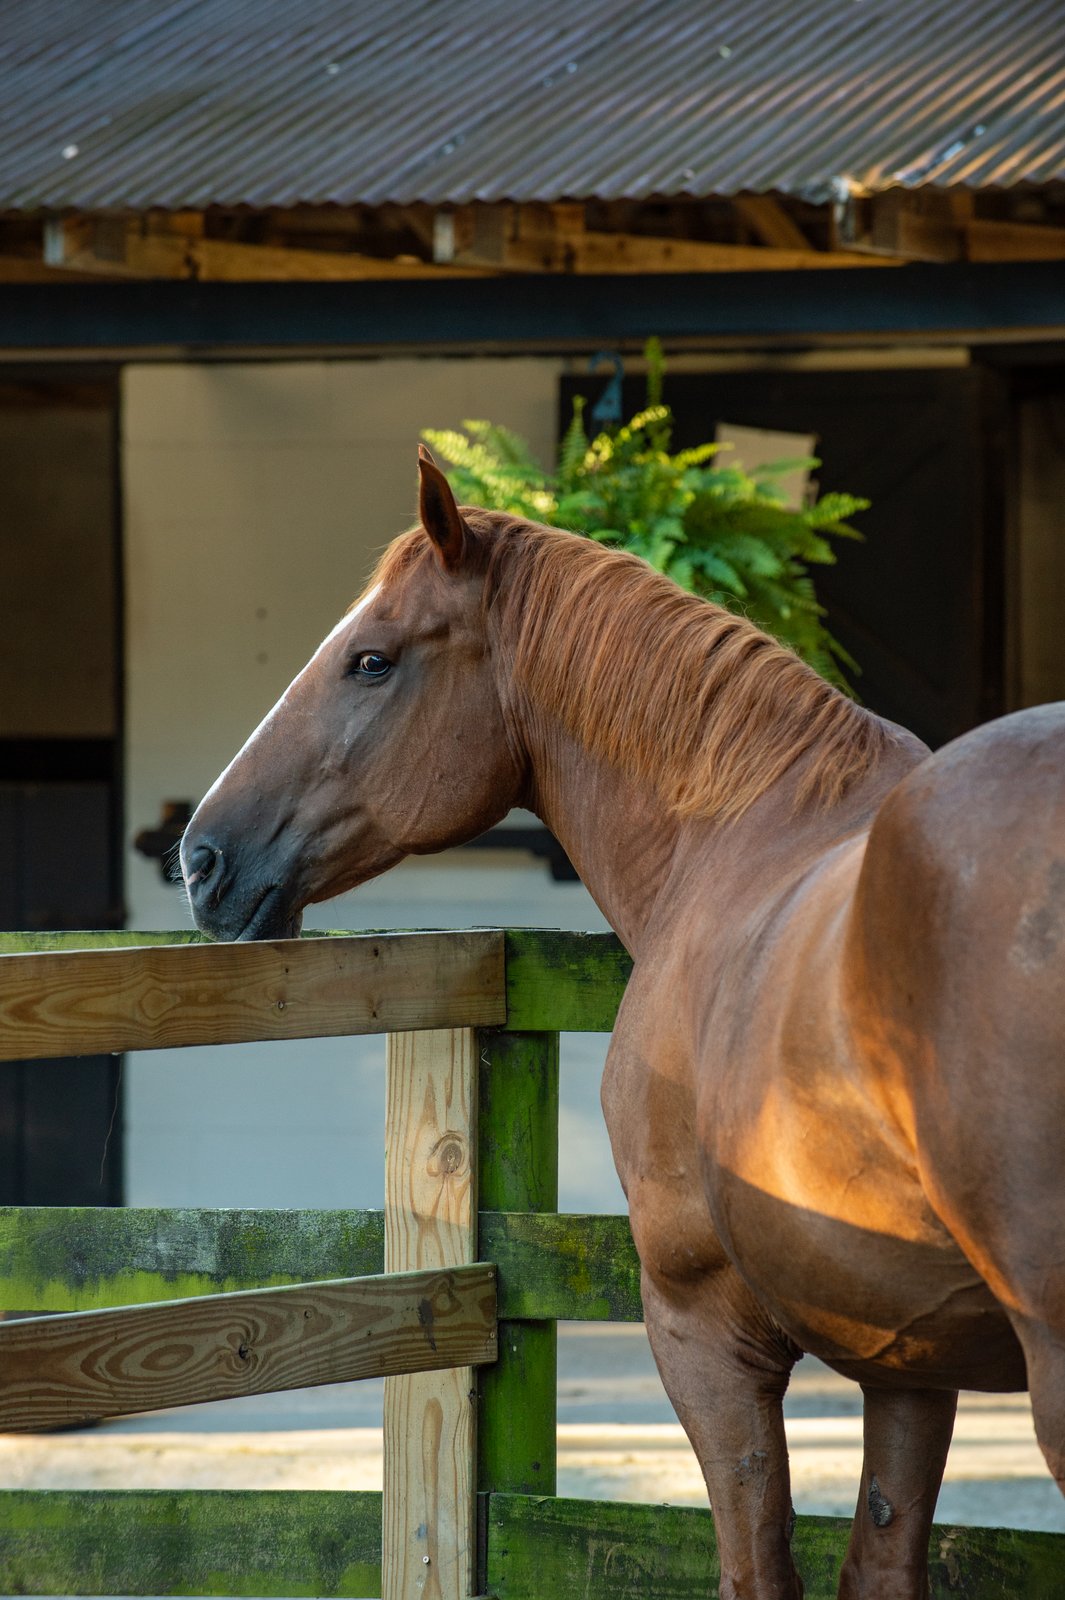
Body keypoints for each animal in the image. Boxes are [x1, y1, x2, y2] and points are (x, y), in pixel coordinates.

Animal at [182, 446, 1065, 1599]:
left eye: (370, 661)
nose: (203, 858)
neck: (735, 838)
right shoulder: (906, 1353)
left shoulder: (703, 1330)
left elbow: (755, 1565)